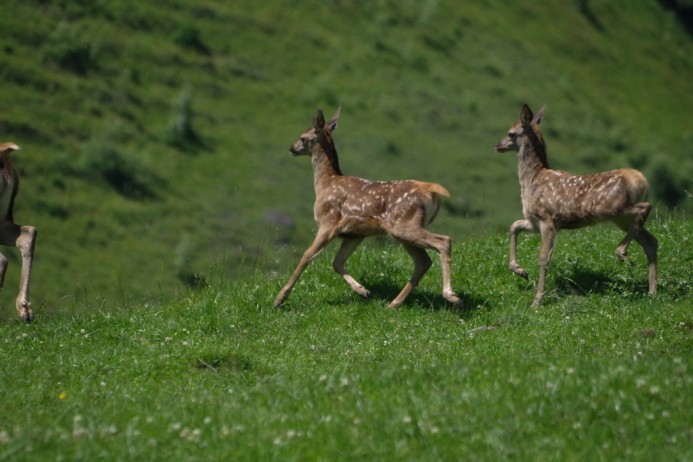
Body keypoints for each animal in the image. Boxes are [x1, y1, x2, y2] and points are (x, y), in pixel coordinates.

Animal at [273, 107, 461, 310]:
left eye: (302, 138)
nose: (291, 148)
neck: (325, 184)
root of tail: (431, 190)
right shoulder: (354, 233)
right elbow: (336, 262)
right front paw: (364, 291)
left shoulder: (328, 222)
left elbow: (306, 256)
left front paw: (280, 298)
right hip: (403, 230)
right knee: (423, 262)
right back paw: (394, 304)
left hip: (404, 224)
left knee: (444, 241)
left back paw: (451, 296)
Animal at [494, 104, 657, 307]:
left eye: (510, 134)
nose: (497, 145)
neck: (532, 179)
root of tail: (640, 180)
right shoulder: (534, 220)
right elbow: (514, 226)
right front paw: (520, 270)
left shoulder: (548, 218)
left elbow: (544, 258)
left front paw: (537, 300)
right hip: (621, 218)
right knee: (650, 241)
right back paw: (652, 291)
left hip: (611, 207)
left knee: (645, 207)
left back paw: (621, 252)